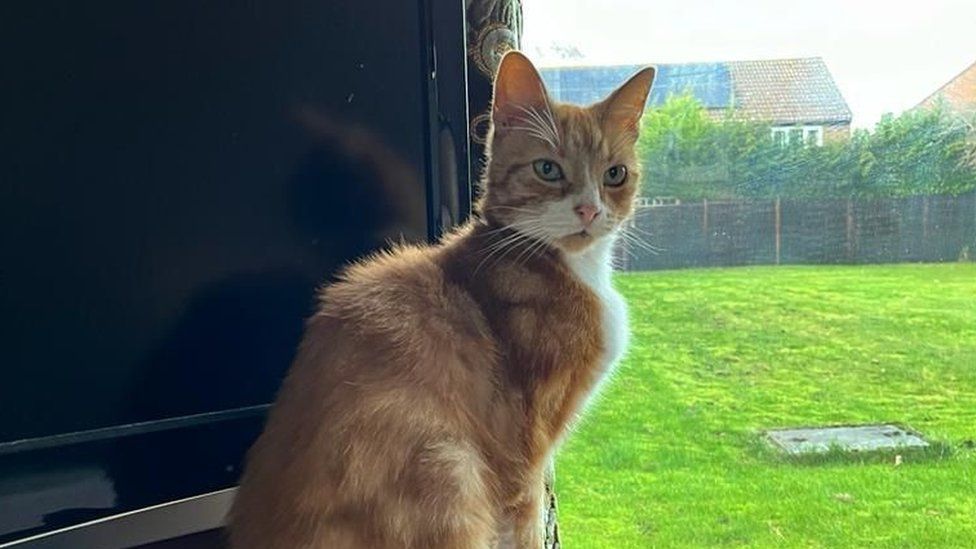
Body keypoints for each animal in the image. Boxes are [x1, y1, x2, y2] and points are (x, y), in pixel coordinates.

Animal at [229, 52, 656, 548]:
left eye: (615, 175)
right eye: (547, 169)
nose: (589, 209)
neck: (570, 267)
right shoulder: (524, 448)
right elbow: (526, 526)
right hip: (449, 465)